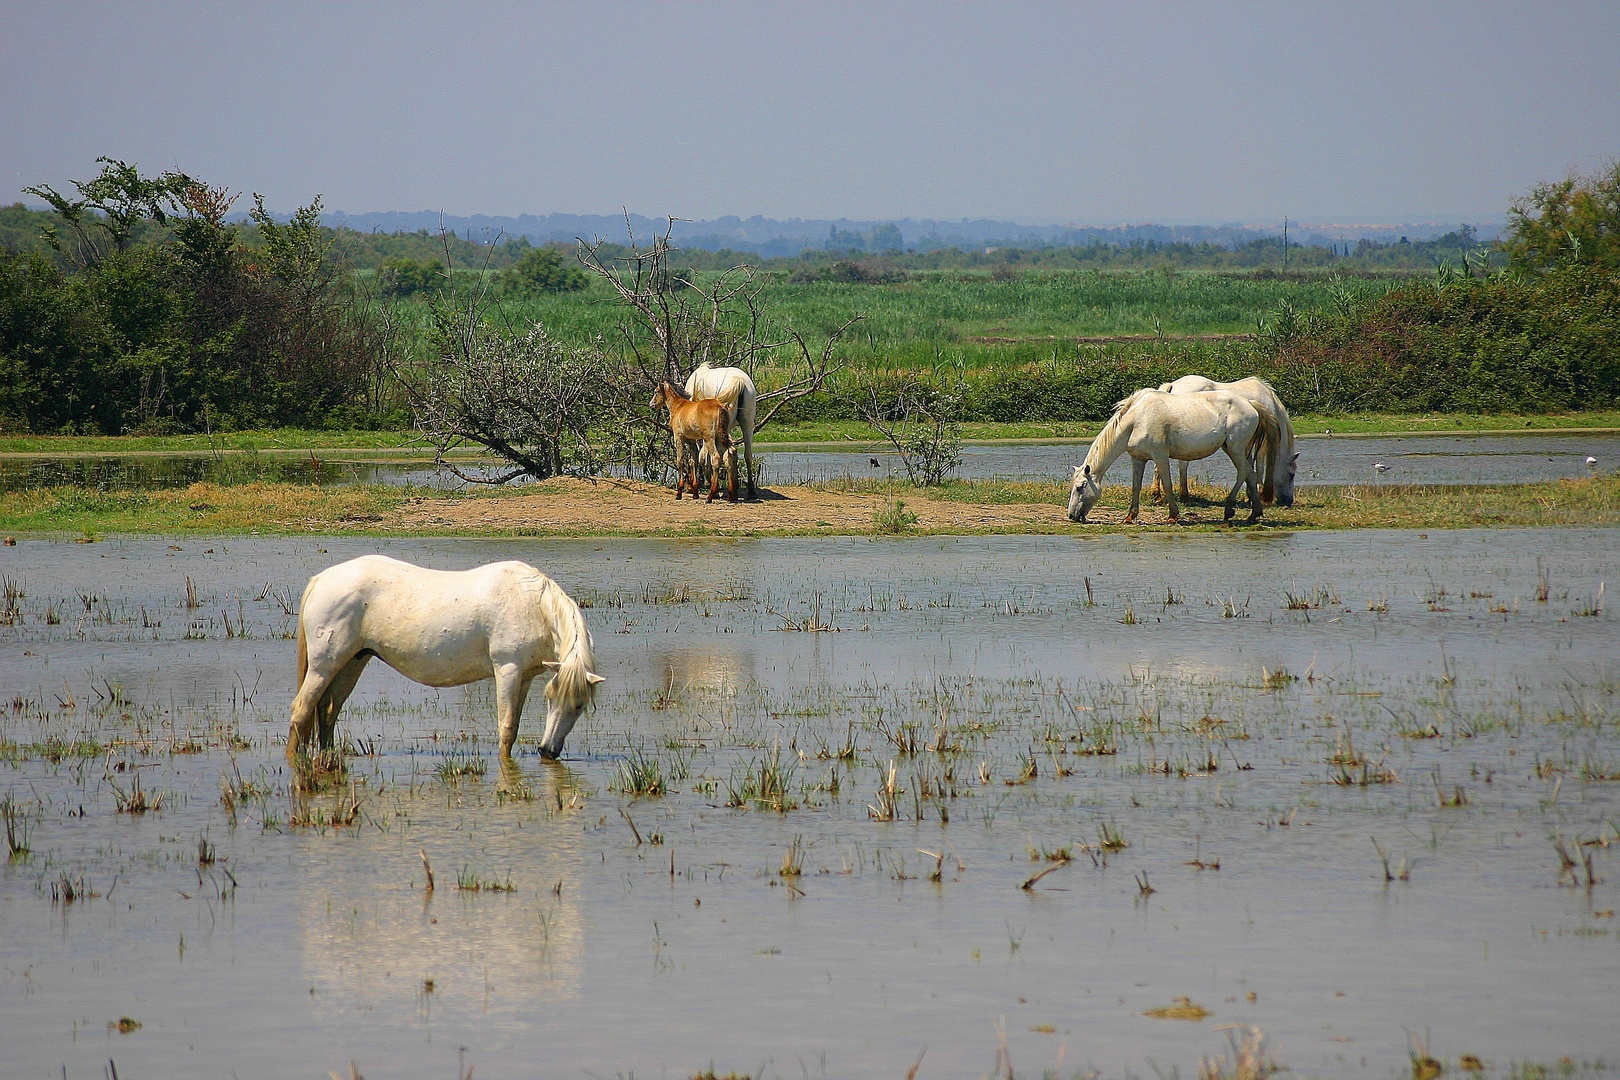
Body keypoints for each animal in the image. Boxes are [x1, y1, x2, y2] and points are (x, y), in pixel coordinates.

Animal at [288, 557, 605, 761]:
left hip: (352, 662)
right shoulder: (508, 670)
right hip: (324, 665)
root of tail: (322, 579)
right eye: (552, 700)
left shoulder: (524, 677)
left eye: (579, 706)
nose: (547, 751)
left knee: (327, 711)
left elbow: (512, 727)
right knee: (302, 710)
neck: (531, 603)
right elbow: (506, 729)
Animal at [683, 361, 758, 501]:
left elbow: (702, 455)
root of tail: (739, 382)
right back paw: (749, 491)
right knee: (746, 454)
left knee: (727, 453)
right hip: (747, 424)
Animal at [1069, 388, 1270, 527]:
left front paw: (1173, 516)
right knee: (1251, 475)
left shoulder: (1160, 456)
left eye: (1080, 487)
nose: (1071, 516)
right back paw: (1254, 514)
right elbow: (1136, 486)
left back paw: (1229, 510)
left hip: (1235, 449)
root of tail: (1251, 404)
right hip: (1236, 450)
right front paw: (1130, 516)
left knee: (1243, 472)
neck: (1137, 420)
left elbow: (1167, 484)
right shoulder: (1138, 458)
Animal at [1153, 374, 1302, 508]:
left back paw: (1158, 496)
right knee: (1182, 465)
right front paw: (1257, 493)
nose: (1289, 501)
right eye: (1291, 475)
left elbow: (1249, 461)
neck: (1269, 401)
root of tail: (1172, 386)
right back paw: (1184, 496)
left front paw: (1250, 494)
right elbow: (1259, 464)